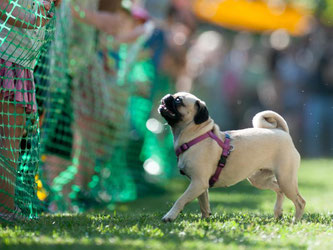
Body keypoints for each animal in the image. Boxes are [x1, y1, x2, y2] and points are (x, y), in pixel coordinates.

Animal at [157, 92, 304, 223]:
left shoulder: (198, 182)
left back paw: (295, 221)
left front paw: (170, 216)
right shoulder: (200, 186)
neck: (195, 135)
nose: (167, 96)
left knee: (300, 202)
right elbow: (204, 205)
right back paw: (278, 213)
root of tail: (282, 132)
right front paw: (204, 222)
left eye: (178, 100)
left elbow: (181, 199)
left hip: (285, 179)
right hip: (259, 180)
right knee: (279, 190)